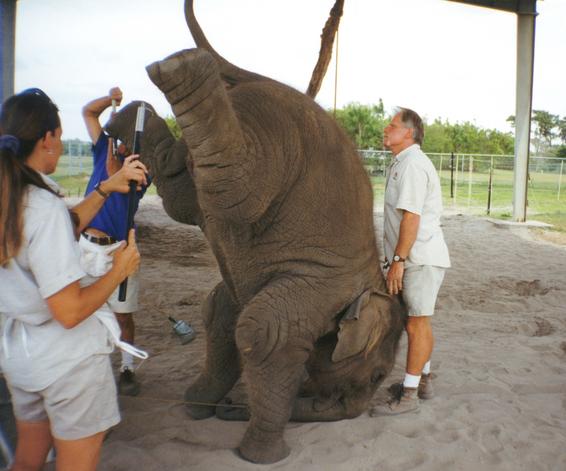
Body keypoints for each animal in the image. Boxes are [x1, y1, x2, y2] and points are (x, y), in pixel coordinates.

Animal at [105, 0, 408, 464]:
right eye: (376, 375)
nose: (232, 408)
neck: (372, 282)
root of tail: (260, 78)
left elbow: (222, 314)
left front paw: (197, 408)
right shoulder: (325, 283)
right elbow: (265, 331)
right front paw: (262, 456)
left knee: (187, 189)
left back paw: (133, 110)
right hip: (273, 141)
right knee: (229, 186)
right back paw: (181, 72)